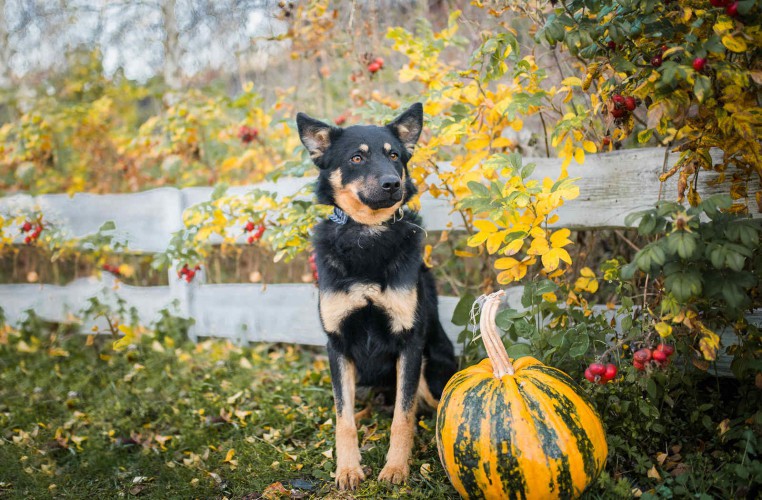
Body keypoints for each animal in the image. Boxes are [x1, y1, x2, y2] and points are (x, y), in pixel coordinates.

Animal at [294, 103, 454, 490]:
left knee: (425, 408)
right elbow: (343, 419)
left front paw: (396, 468)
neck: (367, 233)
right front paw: (348, 469)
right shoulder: (337, 345)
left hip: (430, 371)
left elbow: (403, 417)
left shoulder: (410, 342)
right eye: (356, 158)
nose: (392, 183)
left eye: (394, 156)